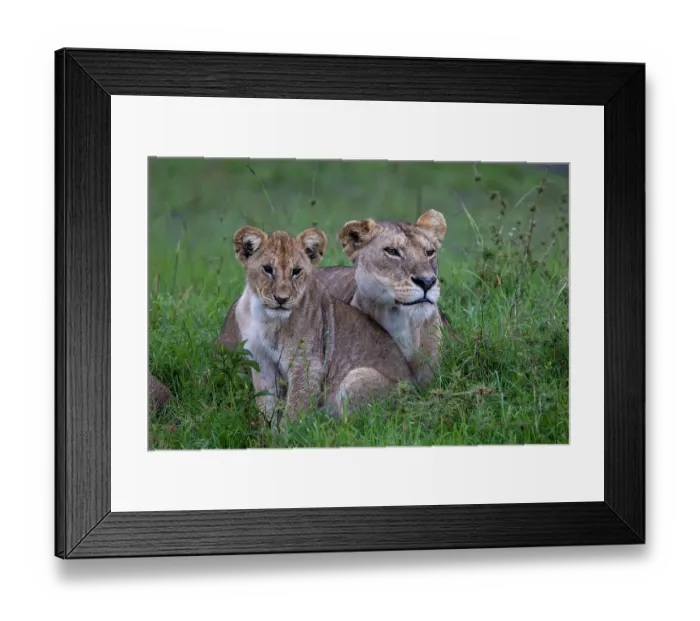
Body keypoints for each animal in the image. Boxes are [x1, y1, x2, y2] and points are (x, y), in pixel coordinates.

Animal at [229, 225, 412, 424]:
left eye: (296, 271)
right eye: (268, 269)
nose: (281, 299)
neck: (265, 318)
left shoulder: (307, 364)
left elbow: (294, 409)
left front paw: (289, 432)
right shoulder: (261, 362)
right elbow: (266, 405)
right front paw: (268, 431)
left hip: (357, 378)